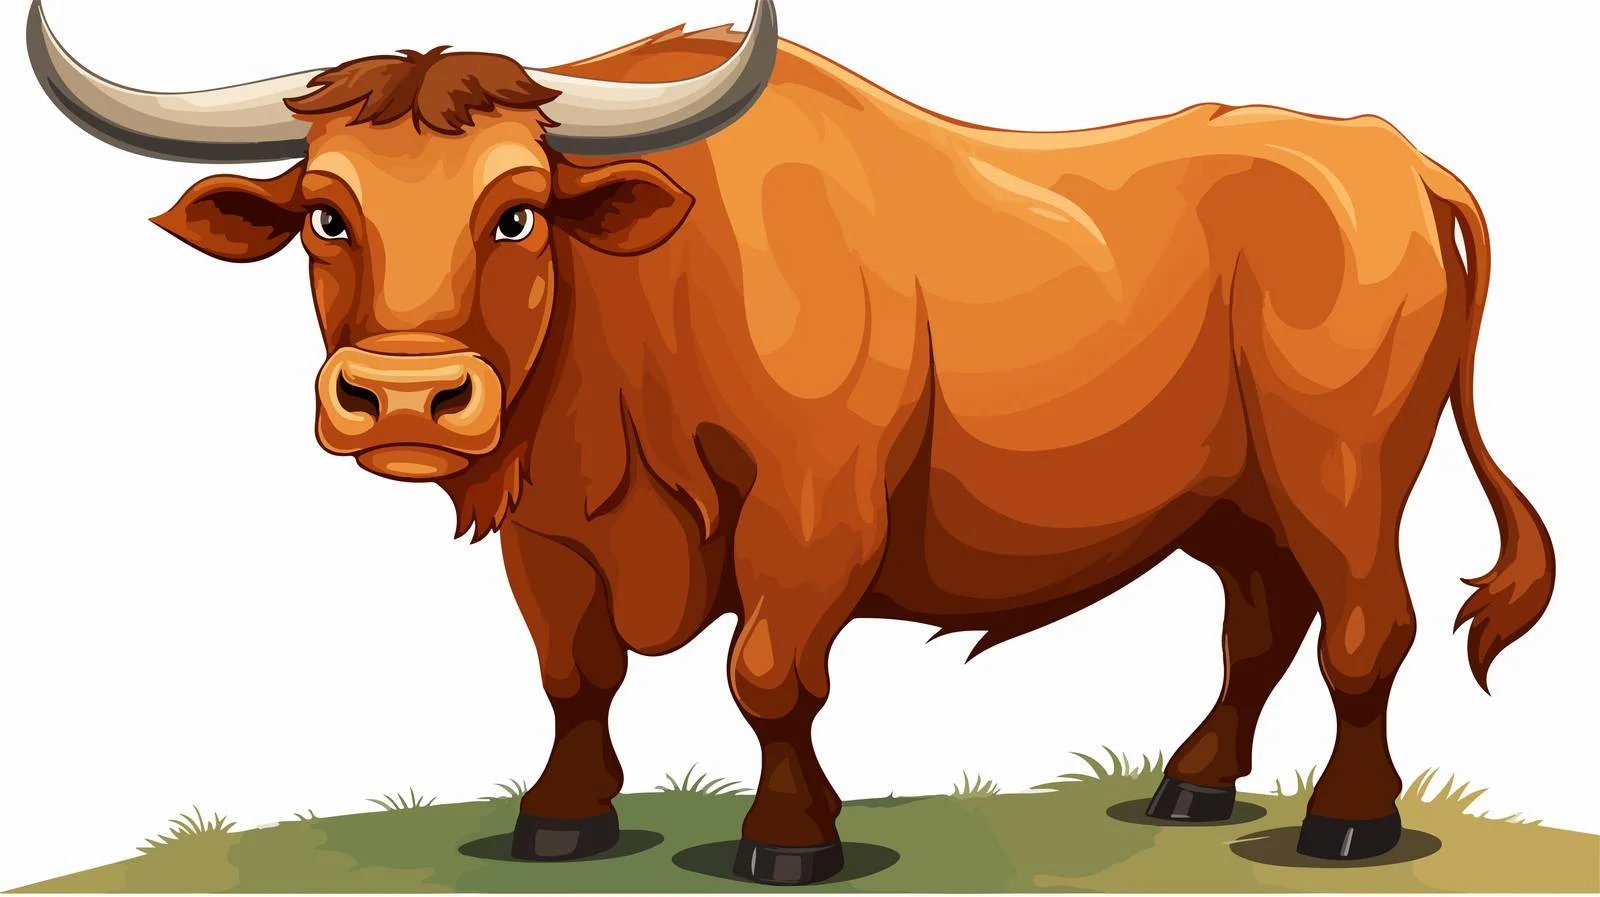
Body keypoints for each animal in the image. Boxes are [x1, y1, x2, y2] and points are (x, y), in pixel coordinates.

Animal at [27, 0, 1554, 885]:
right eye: (325, 213)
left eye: (517, 210)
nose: (406, 398)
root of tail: (1379, 148)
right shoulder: (548, 533)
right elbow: (572, 674)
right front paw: (561, 819)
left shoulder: (813, 508)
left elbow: (771, 674)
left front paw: (788, 838)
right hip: (1232, 499)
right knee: (1259, 624)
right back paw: (1188, 784)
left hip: (1341, 469)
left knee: (1364, 624)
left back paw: (1345, 821)